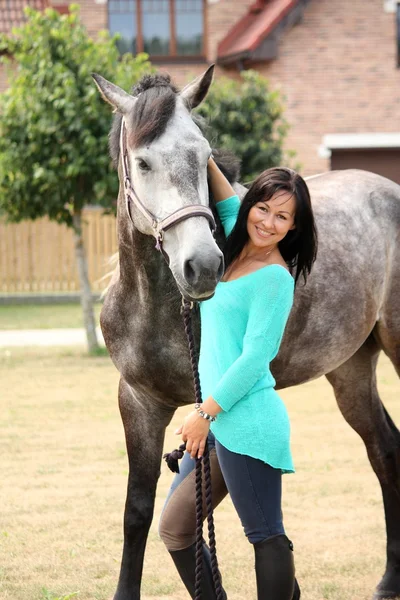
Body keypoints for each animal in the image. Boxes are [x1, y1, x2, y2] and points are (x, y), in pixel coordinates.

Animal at [93, 65, 400, 600]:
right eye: (143, 162)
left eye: (204, 157)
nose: (202, 266)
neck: (157, 305)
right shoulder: (137, 401)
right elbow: (139, 511)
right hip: (351, 369)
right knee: (385, 450)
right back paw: (388, 579)